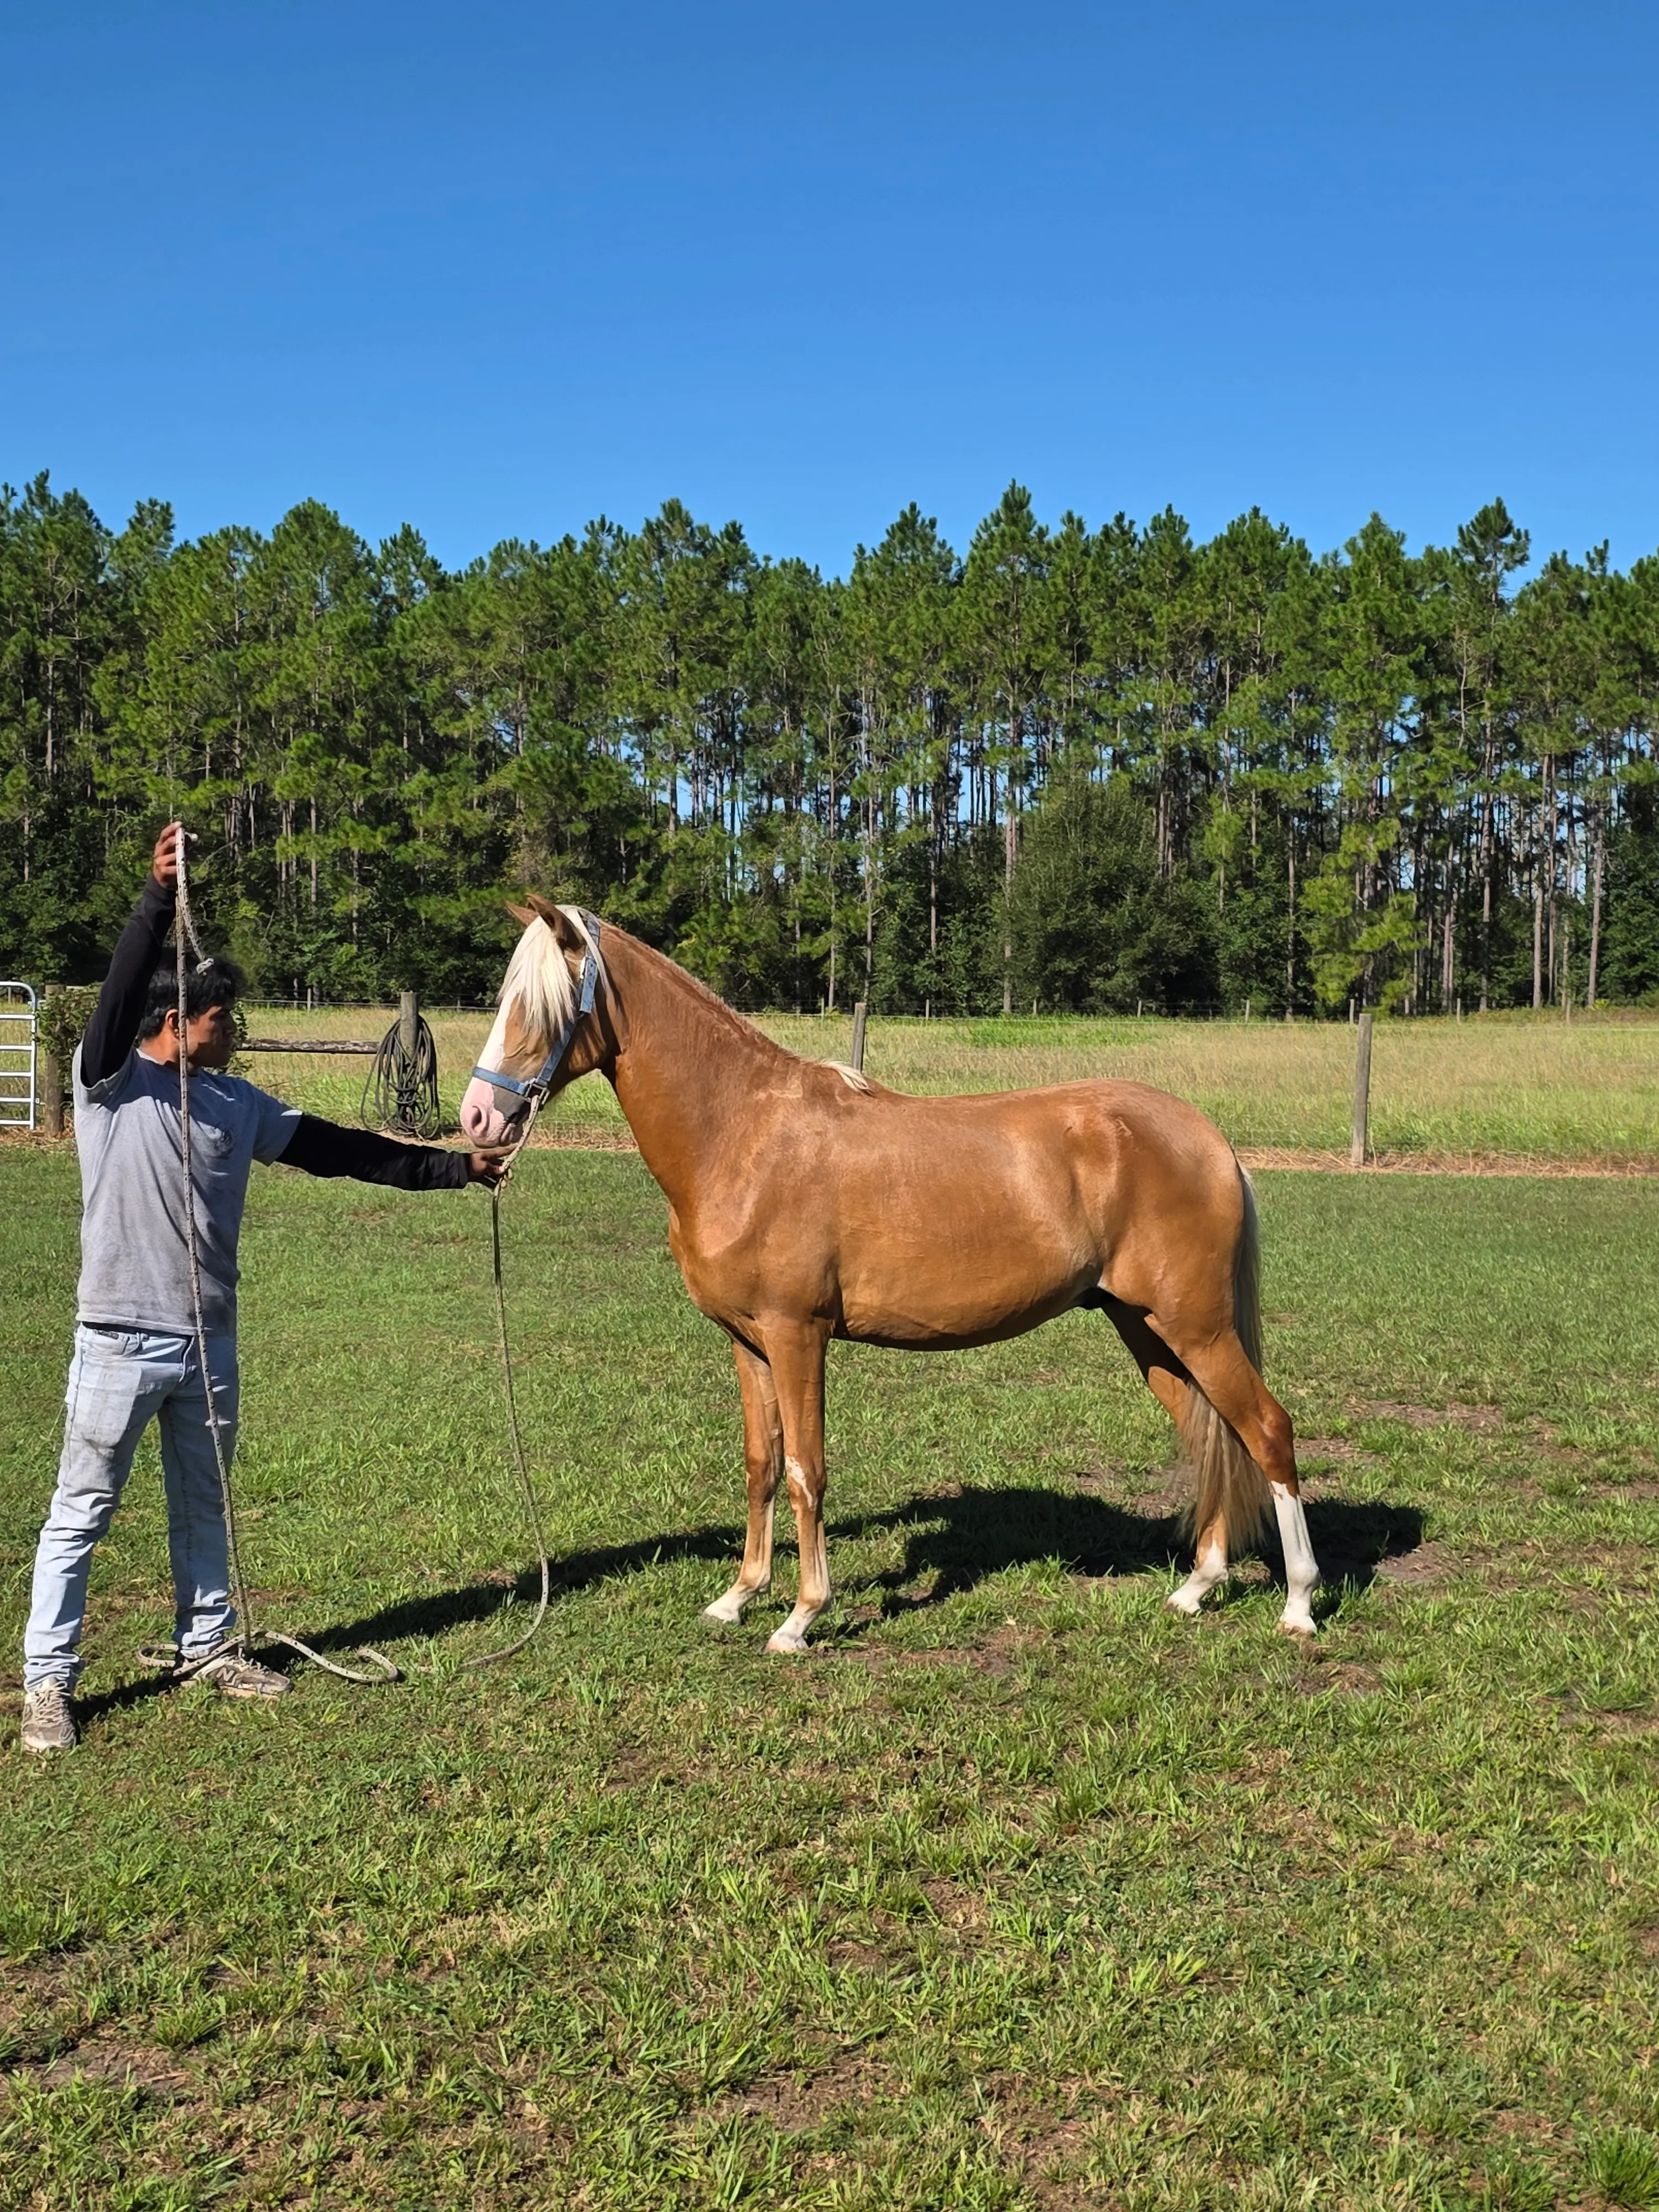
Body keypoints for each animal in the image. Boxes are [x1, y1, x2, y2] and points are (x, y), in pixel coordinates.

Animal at [460, 900, 1321, 1652]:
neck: (743, 1136)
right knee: (1213, 1435)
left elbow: (806, 1471)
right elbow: (761, 1464)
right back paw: (1197, 1588)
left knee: (1267, 1431)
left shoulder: (798, 1336)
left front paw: (801, 1618)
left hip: (1197, 1326)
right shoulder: (748, 1342)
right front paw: (738, 1597)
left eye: (538, 1006)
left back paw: (1300, 1605)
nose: (476, 1120)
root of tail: (1209, 1139)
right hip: (1147, 1330)